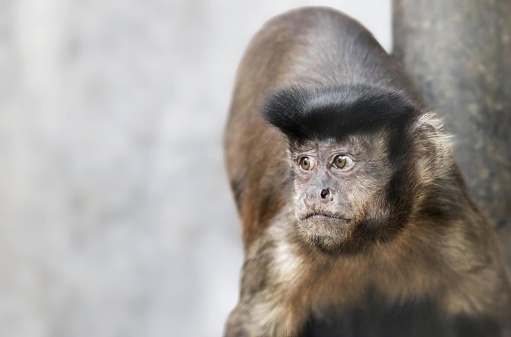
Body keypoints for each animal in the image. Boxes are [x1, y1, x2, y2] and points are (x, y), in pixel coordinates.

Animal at [224, 5, 511, 336]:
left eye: (341, 162)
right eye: (305, 163)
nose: (314, 192)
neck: (369, 241)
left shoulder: (456, 229)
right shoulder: (281, 254)